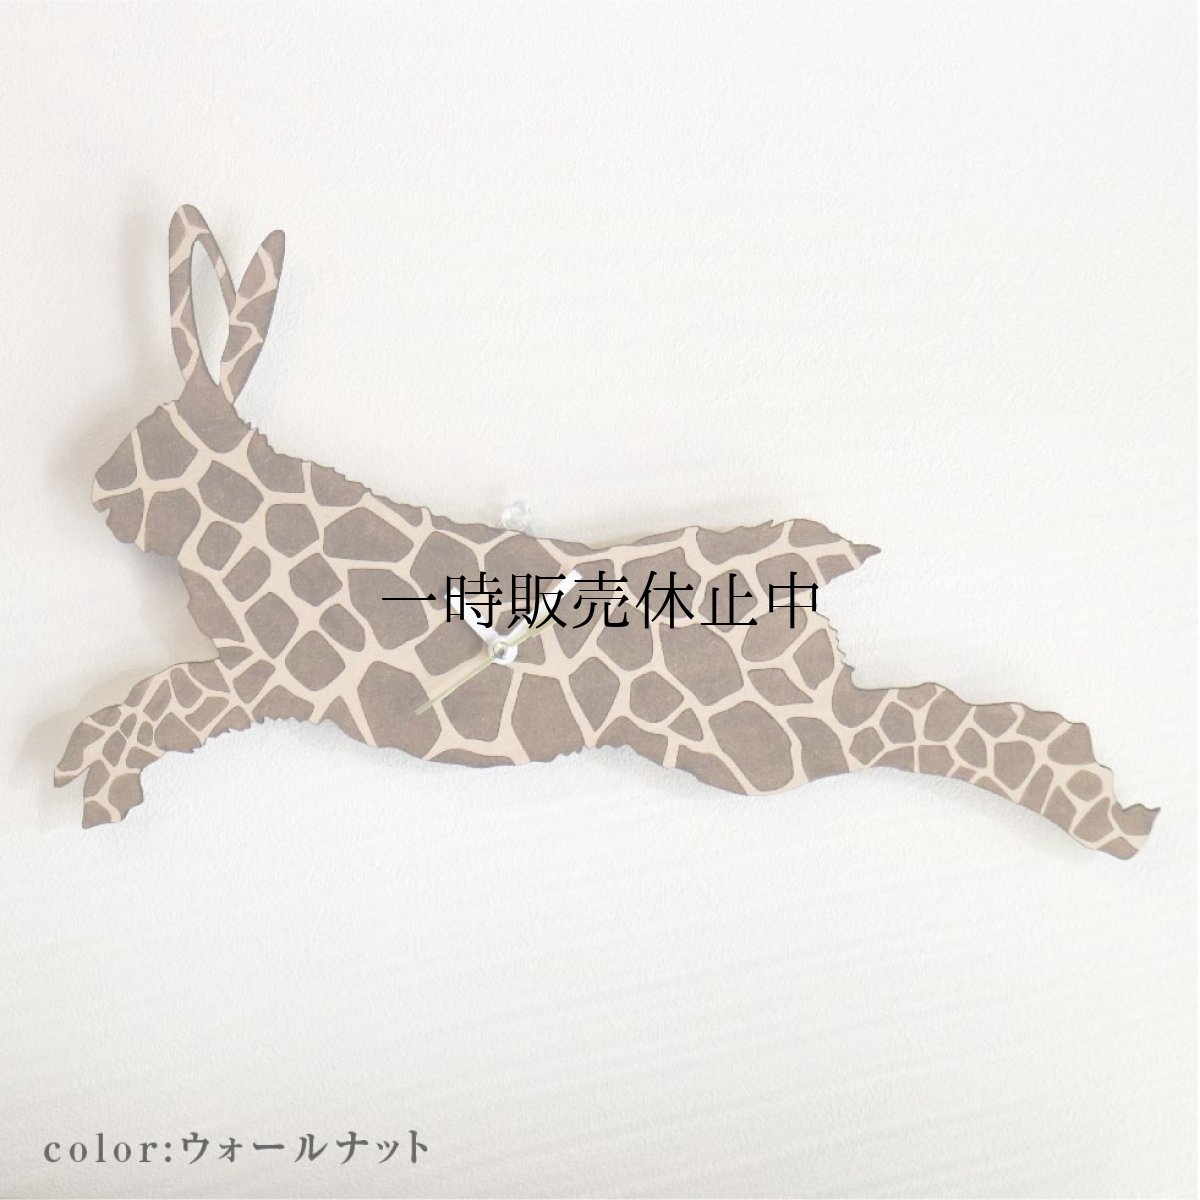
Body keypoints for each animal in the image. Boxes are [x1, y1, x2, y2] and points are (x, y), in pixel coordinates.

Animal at [55, 205, 1159, 858]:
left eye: (140, 439)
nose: (95, 491)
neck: (236, 520)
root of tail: (809, 568)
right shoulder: (253, 679)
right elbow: (150, 698)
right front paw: (84, 770)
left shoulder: (266, 678)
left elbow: (155, 701)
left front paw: (91, 779)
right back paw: (1117, 809)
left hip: (766, 749)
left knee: (939, 723)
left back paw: (1106, 818)